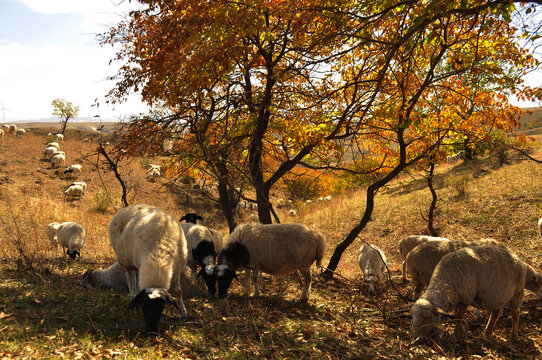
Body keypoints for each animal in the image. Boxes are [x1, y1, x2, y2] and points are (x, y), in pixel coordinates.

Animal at [108, 204, 189, 334]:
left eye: (162, 305)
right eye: (143, 304)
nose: (151, 330)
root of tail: (128, 207)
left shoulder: (177, 270)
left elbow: (178, 292)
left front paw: (184, 312)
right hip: (126, 262)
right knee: (130, 281)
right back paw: (132, 296)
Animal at [412, 246, 542, 342]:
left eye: (425, 318)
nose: (416, 338)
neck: (446, 281)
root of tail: (521, 261)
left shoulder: (466, 297)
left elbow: (459, 315)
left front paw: (456, 335)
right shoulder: (460, 298)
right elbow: (458, 316)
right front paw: (460, 332)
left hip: (517, 293)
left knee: (516, 314)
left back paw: (514, 336)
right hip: (497, 296)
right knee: (496, 312)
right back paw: (488, 331)